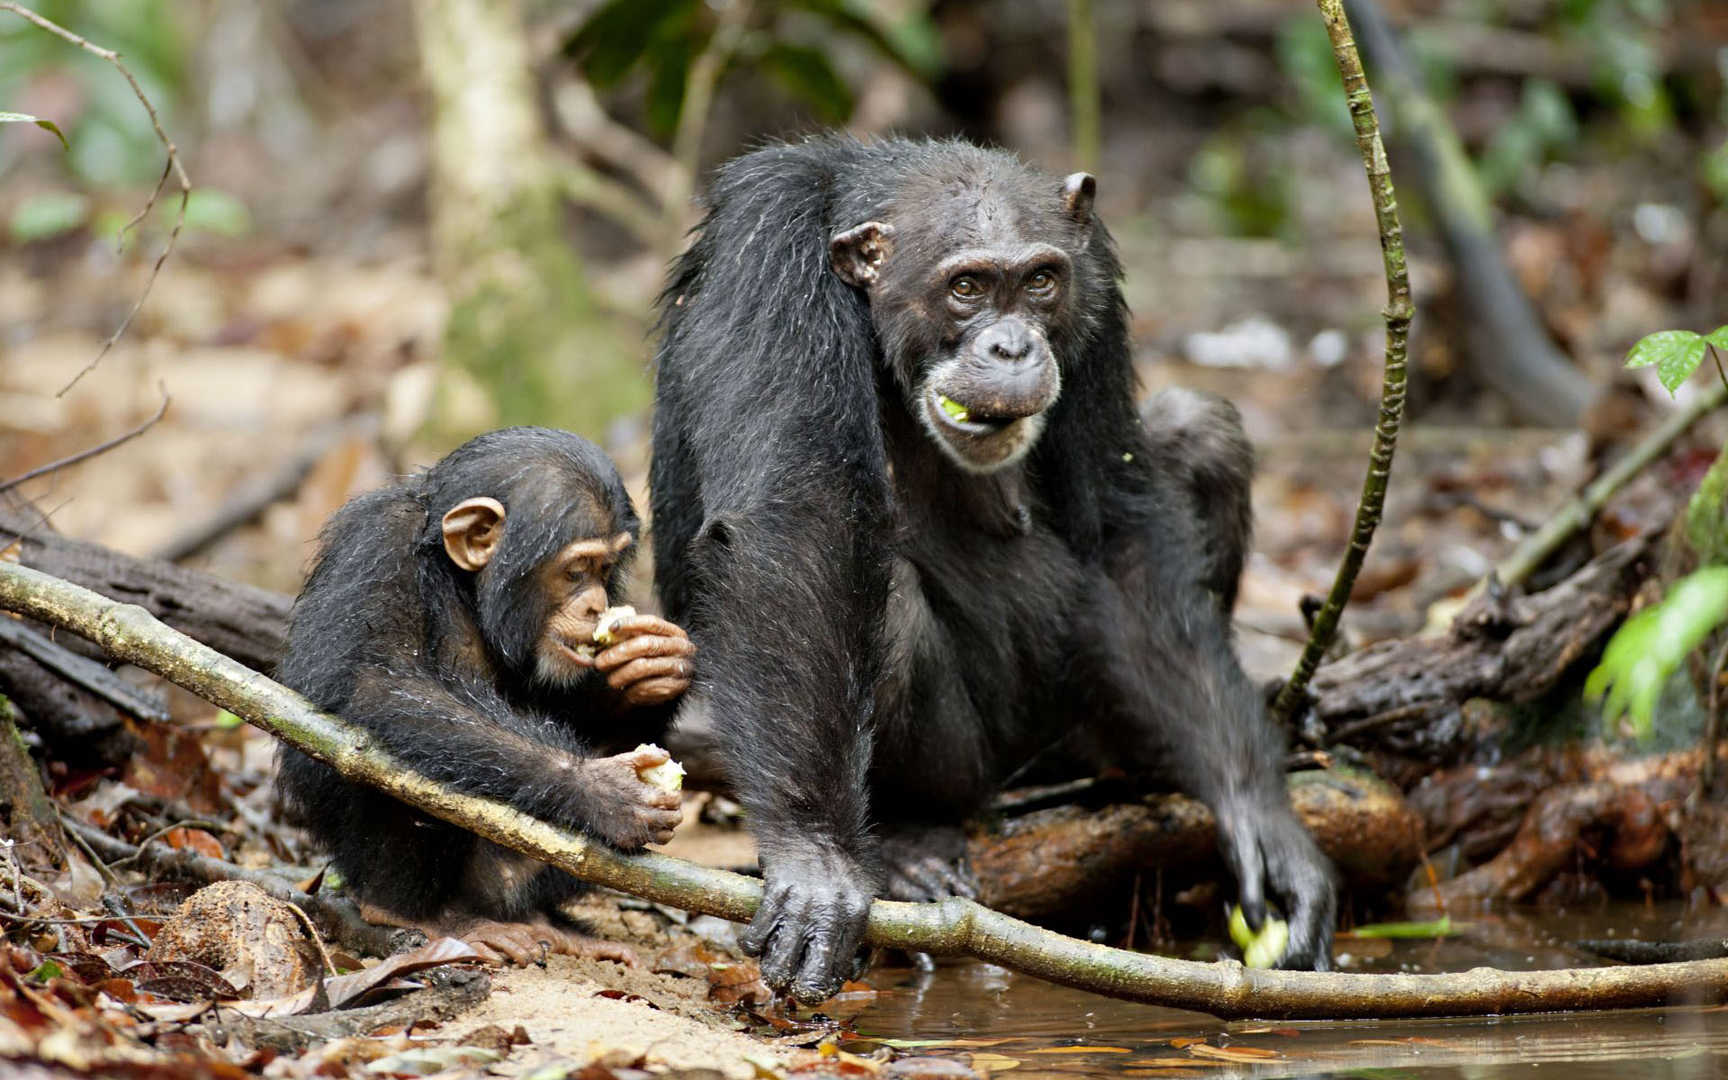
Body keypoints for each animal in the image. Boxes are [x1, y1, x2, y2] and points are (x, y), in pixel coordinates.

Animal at [276, 425, 694, 967]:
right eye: (576, 571)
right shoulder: (377, 548)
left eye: (606, 569)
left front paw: (653, 665)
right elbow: (381, 682)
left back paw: (549, 923)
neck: (461, 582)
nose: (597, 603)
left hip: (510, 880)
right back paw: (418, 915)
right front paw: (603, 790)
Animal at [649, 136, 1334, 1002]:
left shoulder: (1094, 285)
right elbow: (800, 519)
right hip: (971, 761)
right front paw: (817, 861)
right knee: (888, 599)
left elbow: (1116, 524)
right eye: (967, 287)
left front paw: (1260, 820)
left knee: (1199, 428)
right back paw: (907, 839)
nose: (1011, 344)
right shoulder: (766, 259)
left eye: (1039, 280)